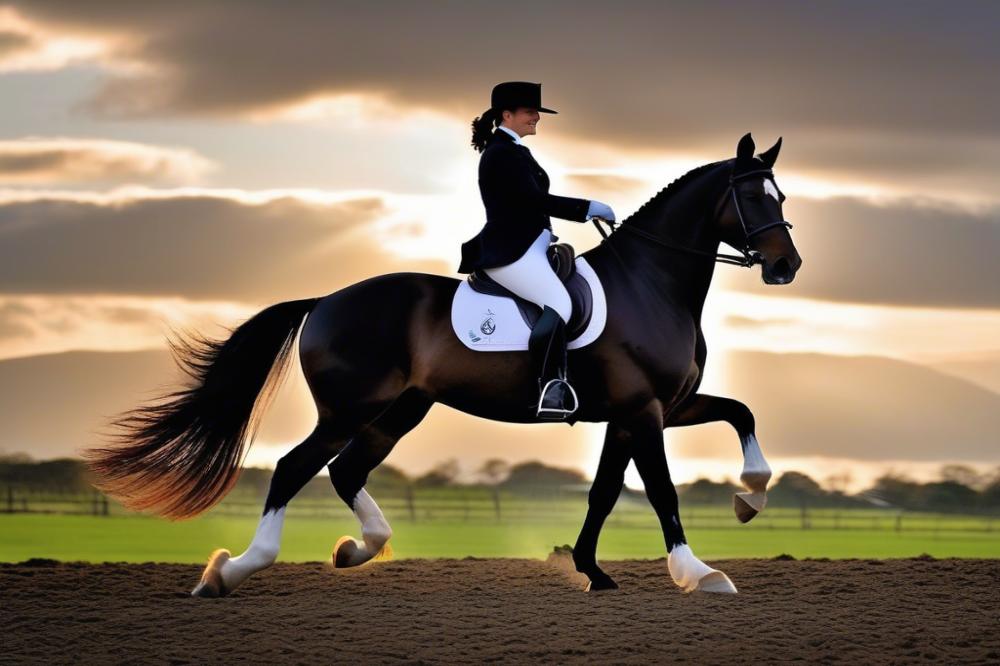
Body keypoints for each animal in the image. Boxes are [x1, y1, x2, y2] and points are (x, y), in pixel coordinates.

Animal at [88, 128, 804, 592]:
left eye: (783, 198)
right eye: (755, 198)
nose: (786, 266)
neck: (649, 283)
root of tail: (326, 299)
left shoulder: (648, 410)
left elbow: (707, 433)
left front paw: (742, 501)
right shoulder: (643, 409)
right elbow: (660, 491)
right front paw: (700, 572)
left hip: (401, 409)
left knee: (344, 471)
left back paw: (359, 549)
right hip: (350, 408)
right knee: (296, 468)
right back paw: (234, 570)